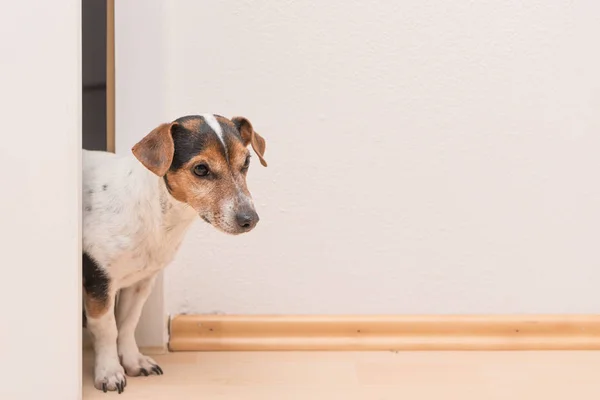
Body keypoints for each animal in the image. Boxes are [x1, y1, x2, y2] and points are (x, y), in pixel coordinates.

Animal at [82, 114, 268, 392]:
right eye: (200, 169)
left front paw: (134, 361)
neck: (154, 214)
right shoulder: (98, 282)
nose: (250, 220)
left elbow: (127, 324)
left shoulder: (140, 283)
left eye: (246, 162)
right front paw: (110, 371)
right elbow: (107, 328)